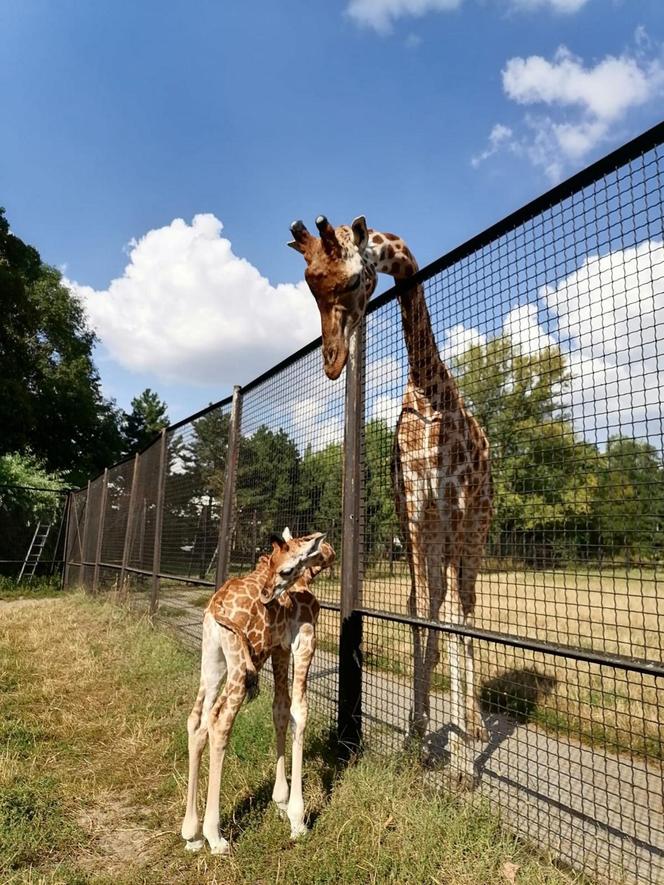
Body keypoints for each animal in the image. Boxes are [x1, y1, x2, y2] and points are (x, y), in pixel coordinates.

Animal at [180, 528, 332, 852]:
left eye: (283, 569)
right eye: (276, 566)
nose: (266, 595)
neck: (309, 576)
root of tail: (215, 609)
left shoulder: (280, 649)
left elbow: (280, 710)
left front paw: (280, 803)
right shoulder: (305, 640)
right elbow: (300, 712)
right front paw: (298, 820)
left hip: (213, 662)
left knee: (197, 720)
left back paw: (192, 834)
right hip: (238, 665)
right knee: (219, 722)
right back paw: (215, 837)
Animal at [290, 216, 492, 772]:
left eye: (351, 282)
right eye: (311, 288)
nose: (333, 363)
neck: (428, 389)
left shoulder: (453, 505)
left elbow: (451, 616)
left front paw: (459, 752)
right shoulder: (414, 511)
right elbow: (417, 609)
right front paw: (416, 734)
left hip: (476, 528)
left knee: (467, 606)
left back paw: (474, 726)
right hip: (436, 535)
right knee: (437, 601)